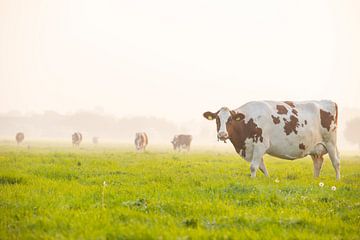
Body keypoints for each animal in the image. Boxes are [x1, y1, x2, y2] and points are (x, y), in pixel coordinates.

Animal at [204, 100, 338, 179]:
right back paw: (315, 180)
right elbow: (262, 167)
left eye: (230, 120)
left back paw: (337, 180)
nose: (222, 134)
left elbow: (254, 166)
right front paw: (267, 179)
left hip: (330, 142)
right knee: (318, 162)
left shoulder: (260, 144)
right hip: (314, 148)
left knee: (336, 161)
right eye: (217, 120)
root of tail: (329, 102)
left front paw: (252, 180)